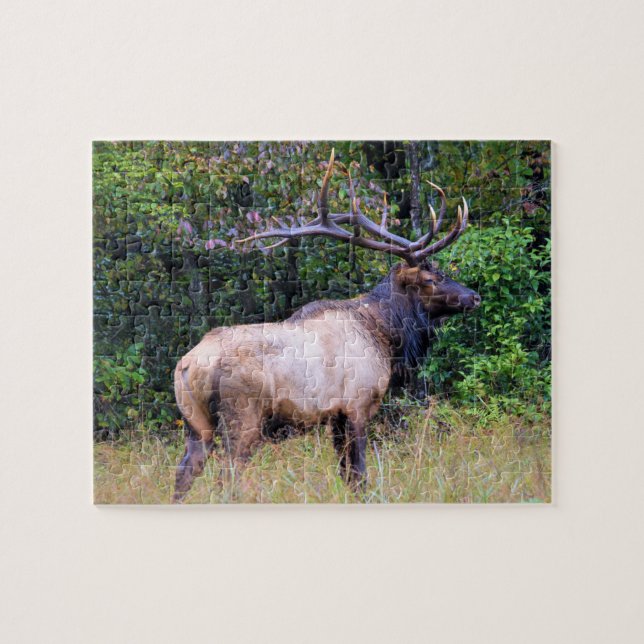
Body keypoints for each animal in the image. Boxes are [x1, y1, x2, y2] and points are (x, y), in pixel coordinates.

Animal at [172, 150, 480, 502]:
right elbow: (359, 474)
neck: (386, 336)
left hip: (197, 423)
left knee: (184, 474)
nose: (474, 296)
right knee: (228, 479)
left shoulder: (335, 416)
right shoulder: (357, 406)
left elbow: (345, 473)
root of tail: (189, 365)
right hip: (243, 417)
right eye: (431, 278)